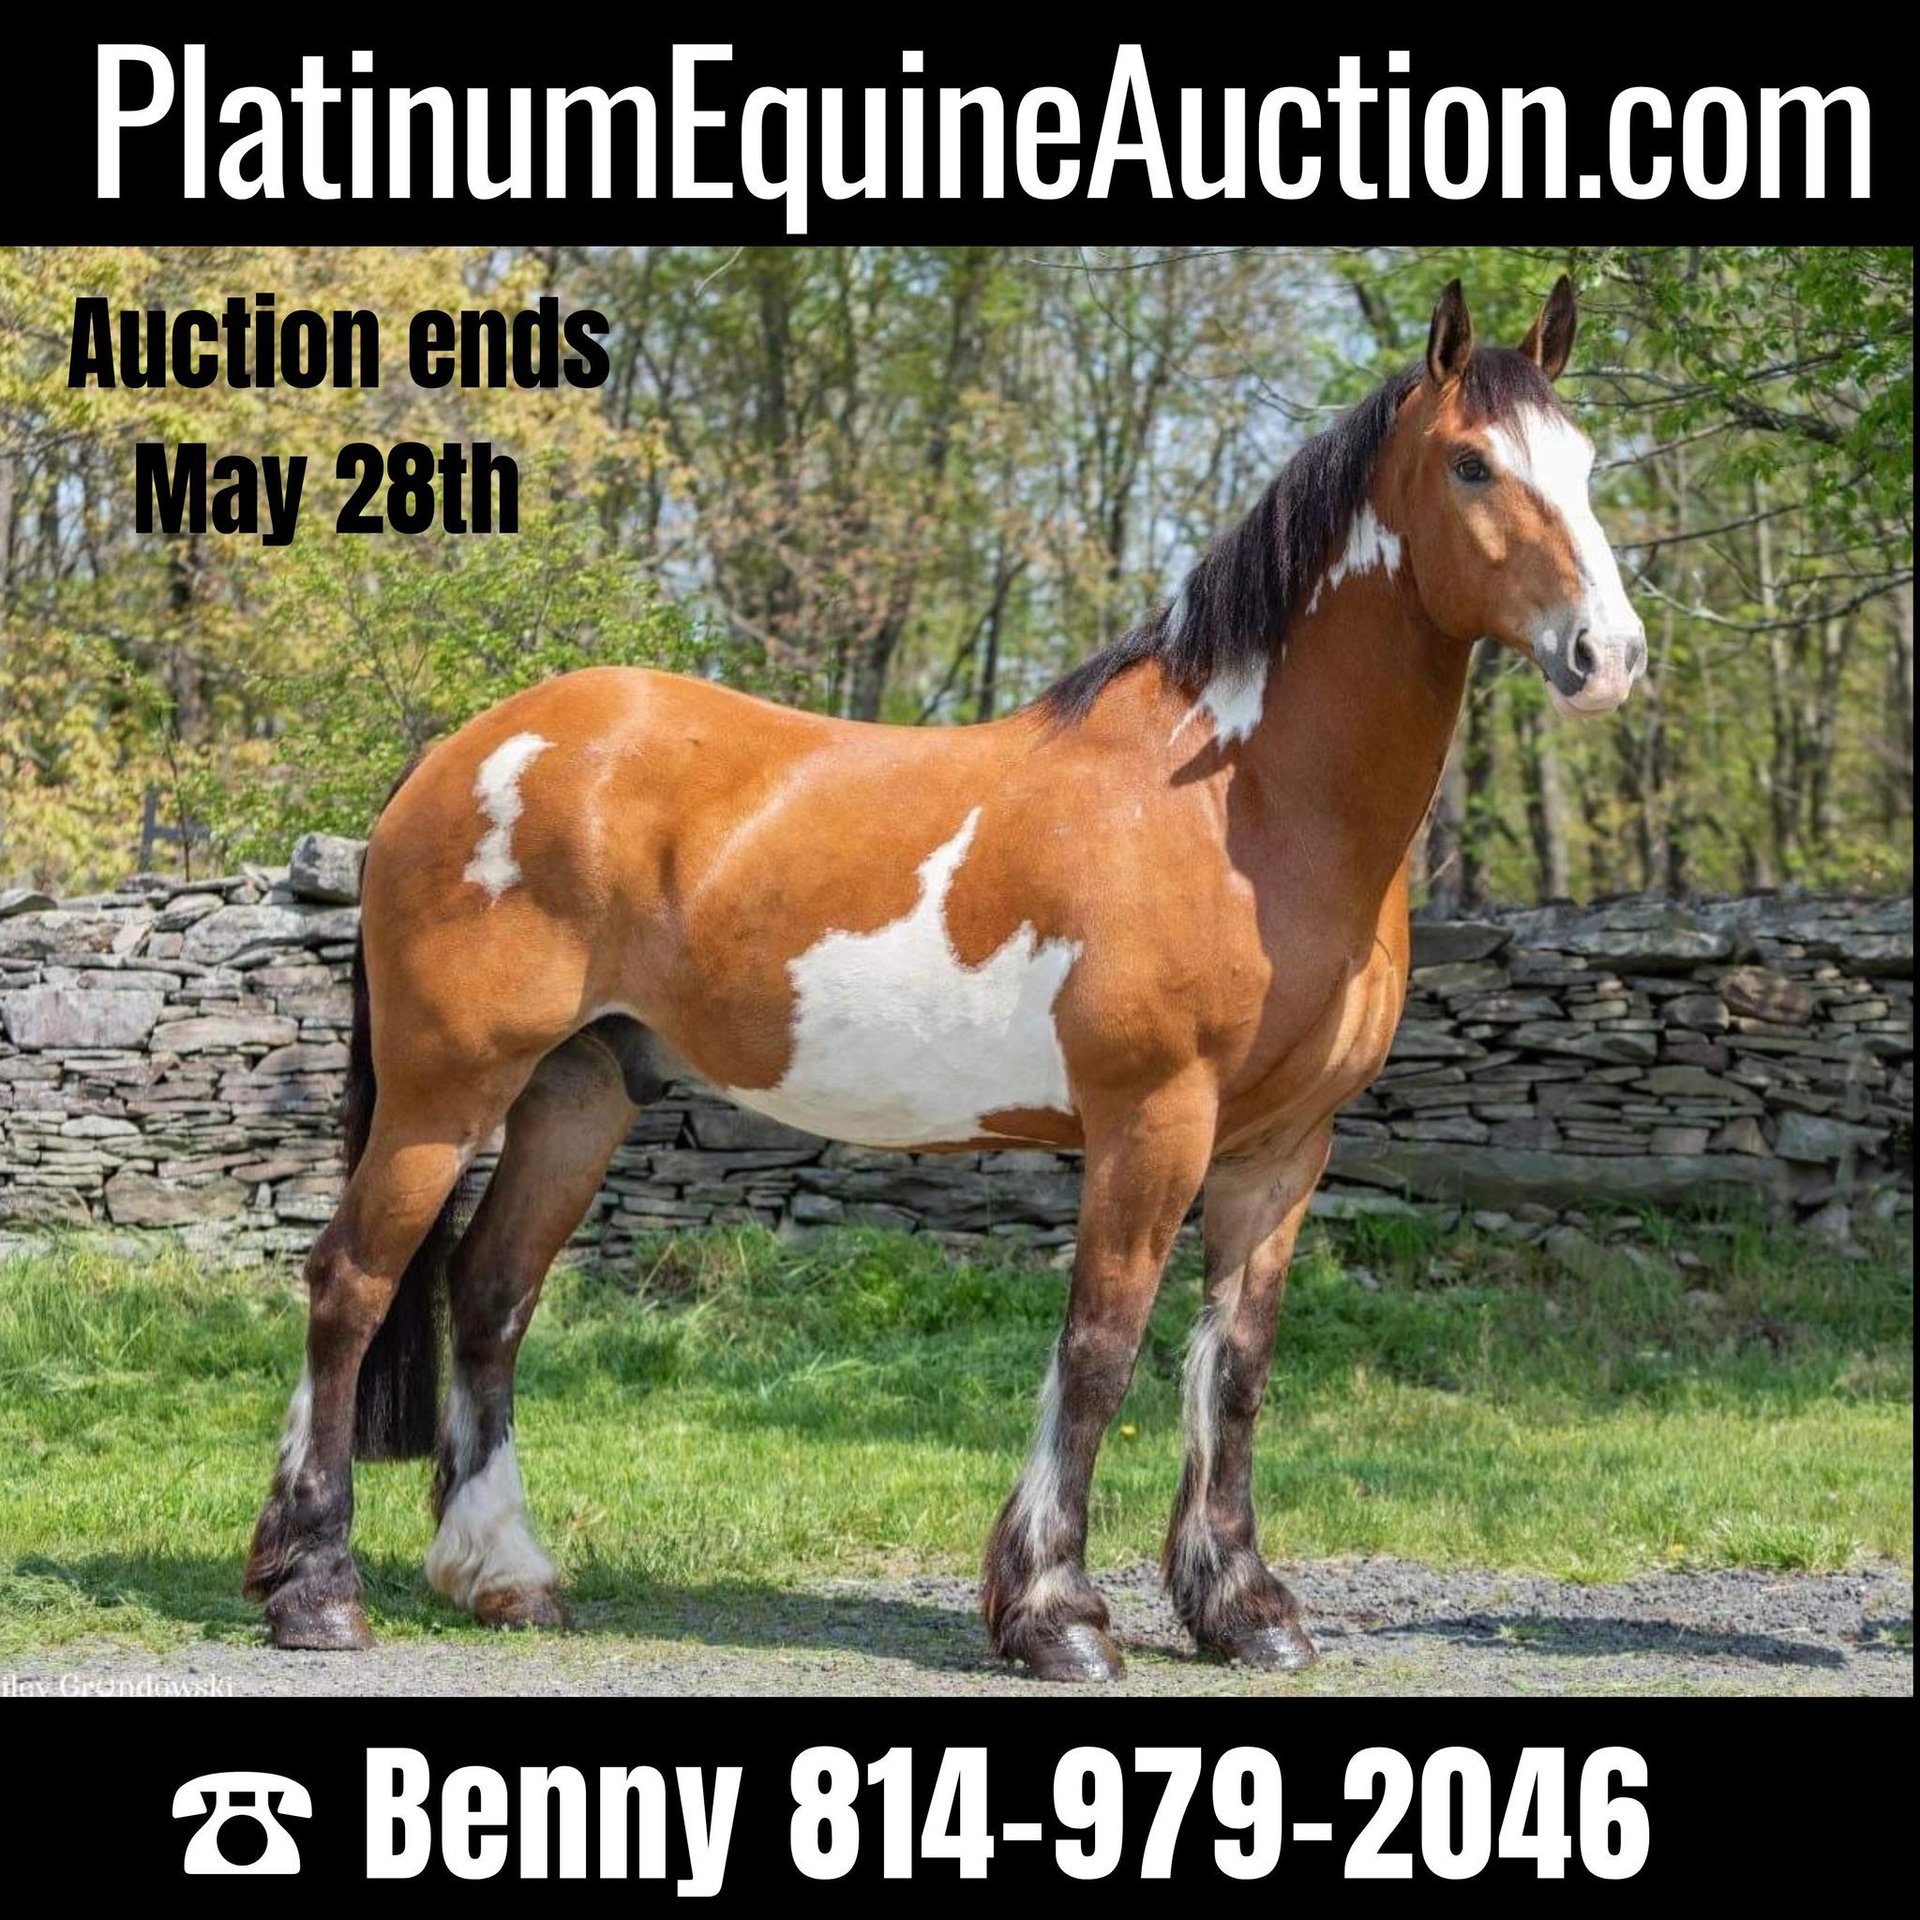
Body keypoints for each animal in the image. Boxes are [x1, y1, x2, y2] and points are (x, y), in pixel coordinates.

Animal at [244, 276, 1645, 1681]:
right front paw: (1058, 1616)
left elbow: (1234, 1368)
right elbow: (1100, 1350)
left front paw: (1246, 1610)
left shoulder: (1283, 1149)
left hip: (576, 1092)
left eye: (1585, 463)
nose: (1611, 656)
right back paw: (314, 1592)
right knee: (350, 1285)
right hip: (446, 1092)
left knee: (490, 1294)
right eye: (1472, 465)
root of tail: (458, 753)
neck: (1241, 808)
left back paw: (506, 1576)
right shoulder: (1151, 1123)